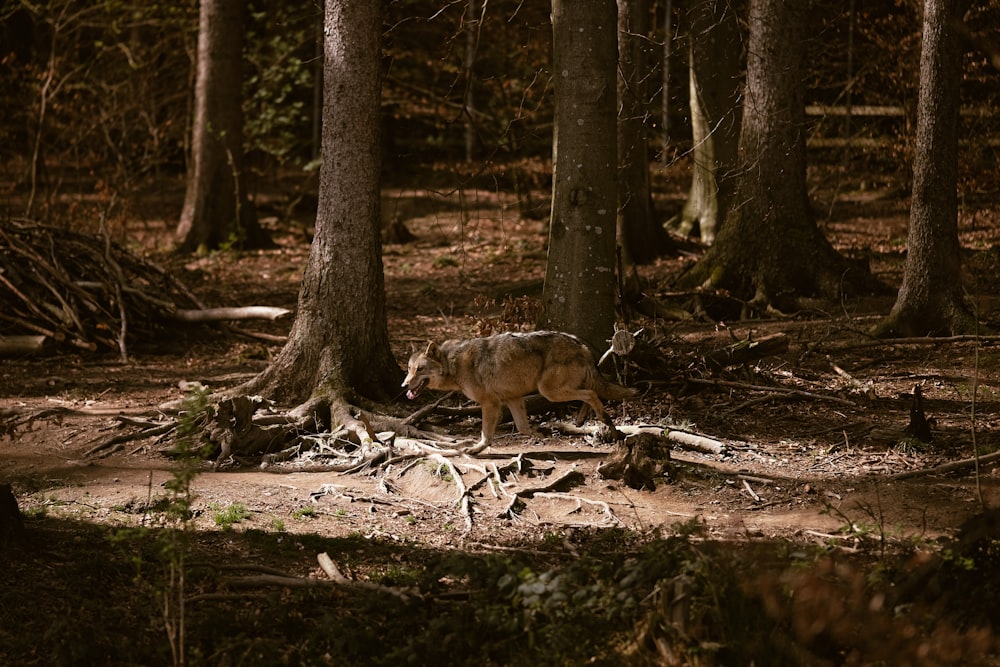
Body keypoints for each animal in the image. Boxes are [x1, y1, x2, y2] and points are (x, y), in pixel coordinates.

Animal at [402, 332, 636, 452]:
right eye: (409, 368)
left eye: (420, 369)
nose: (404, 386)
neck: (454, 363)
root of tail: (582, 345)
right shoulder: (513, 398)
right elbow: (523, 427)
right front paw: (541, 432)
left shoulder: (490, 403)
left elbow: (486, 434)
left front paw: (477, 448)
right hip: (554, 391)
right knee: (590, 393)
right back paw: (581, 421)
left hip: (549, 391)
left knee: (591, 394)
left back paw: (603, 420)